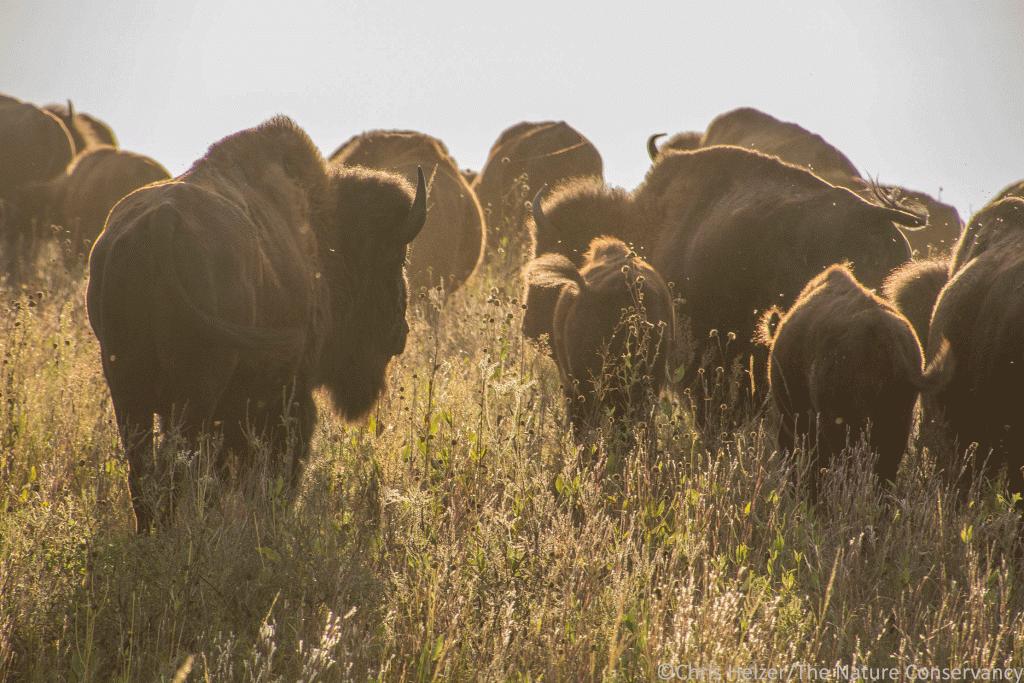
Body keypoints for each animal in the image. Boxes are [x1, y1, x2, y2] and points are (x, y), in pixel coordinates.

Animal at [87, 116, 426, 532]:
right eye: (397, 258)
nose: (401, 334)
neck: (323, 239)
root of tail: (161, 223)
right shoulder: (290, 397)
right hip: (196, 395)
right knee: (177, 468)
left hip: (128, 392)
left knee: (144, 471)